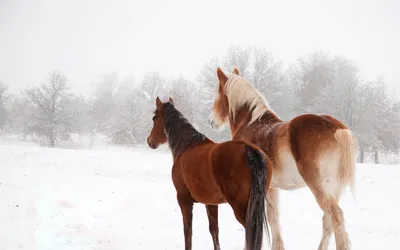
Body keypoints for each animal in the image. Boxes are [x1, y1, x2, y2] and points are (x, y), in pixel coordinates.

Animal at [148, 96, 276, 250]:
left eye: (154, 118)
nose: (150, 141)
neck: (186, 146)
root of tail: (249, 150)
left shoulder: (184, 199)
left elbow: (188, 231)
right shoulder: (211, 203)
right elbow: (214, 230)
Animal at [208, 67, 358, 250]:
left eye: (217, 93)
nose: (211, 121)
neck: (251, 124)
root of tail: (336, 128)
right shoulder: (272, 188)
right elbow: (274, 218)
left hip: (320, 187)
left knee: (336, 216)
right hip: (333, 189)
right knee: (327, 220)